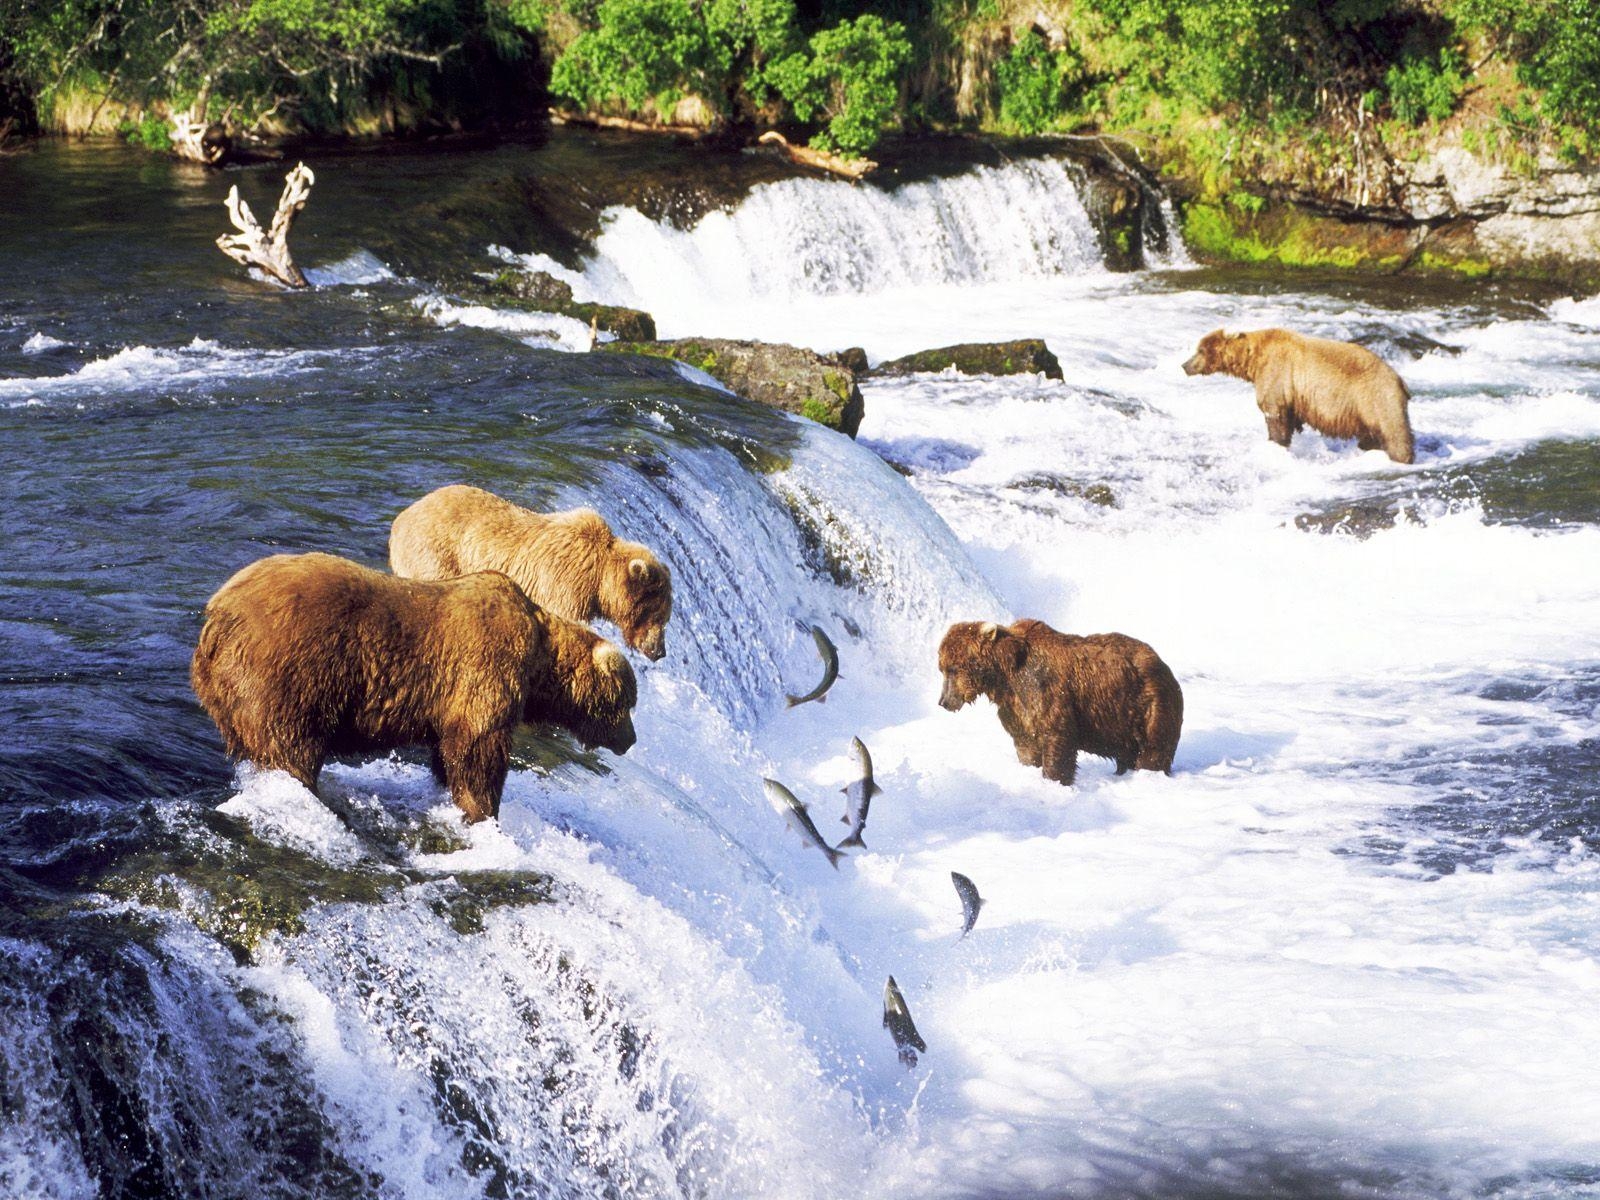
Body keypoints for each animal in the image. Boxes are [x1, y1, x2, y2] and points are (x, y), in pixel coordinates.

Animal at [188, 556, 636, 825]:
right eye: (628, 702)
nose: (630, 740)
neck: (540, 659)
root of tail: (217, 614)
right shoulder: (486, 670)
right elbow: (479, 750)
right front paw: (483, 811)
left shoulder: (451, 700)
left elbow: (449, 750)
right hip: (289, 674)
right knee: (290, 745)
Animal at [396, 483, 678, 662]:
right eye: (658, 615)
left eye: (665, 617)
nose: (660, 651)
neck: (597, 580)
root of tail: (402, 516)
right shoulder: (563, 586)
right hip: (436, 555)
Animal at [934, 620, 1184, 790]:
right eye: (942, 668)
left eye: (953, 668)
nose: (944, 701)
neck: (1005, 676)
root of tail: (1163, 664)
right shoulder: (1015, 709)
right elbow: (1026, 744)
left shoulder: (1045, 691)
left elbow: (1057, 738)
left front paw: (1054, 780)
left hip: (1148, 706)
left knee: (1152, 750)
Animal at [1184, 329, 1420, 464]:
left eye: (1200, 350)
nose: (1185, 365)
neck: (1253, 360)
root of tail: (1400, 380)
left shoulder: (1276, 374)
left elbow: (1274, 415)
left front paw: (1275, 443)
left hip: (1376, 397)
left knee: (1394, 432)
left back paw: (1402, 458)